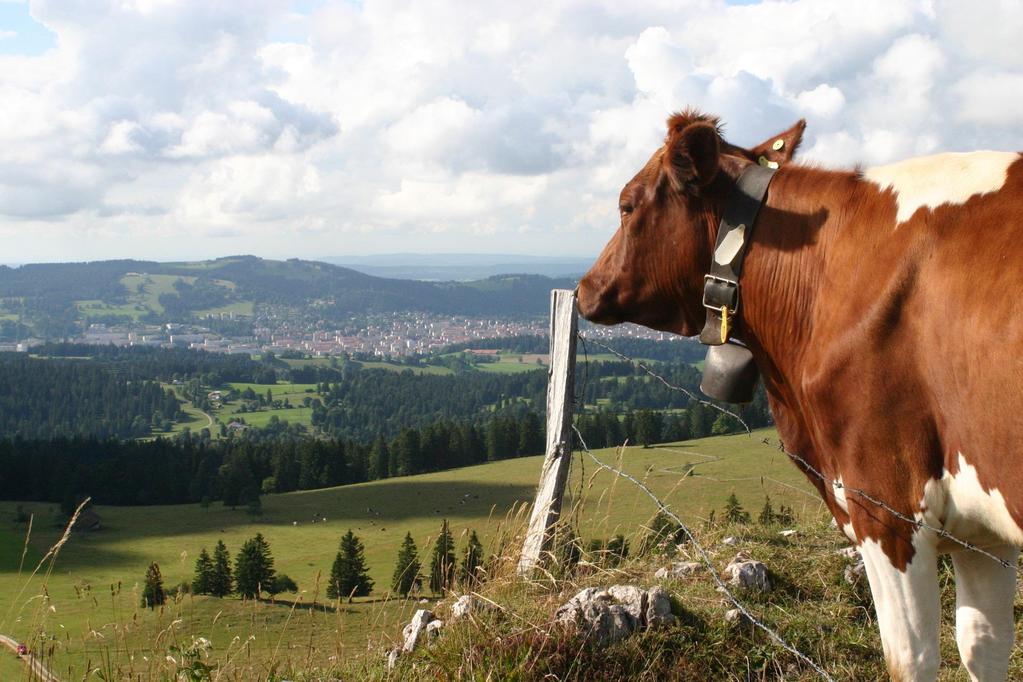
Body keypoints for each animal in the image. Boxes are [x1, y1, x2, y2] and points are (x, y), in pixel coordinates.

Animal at [581, 109, 1023, 678]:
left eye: (627, 205)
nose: (584, 287)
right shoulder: (982, 533)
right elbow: (983, 646)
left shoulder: (885, 503)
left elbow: (911, 657)